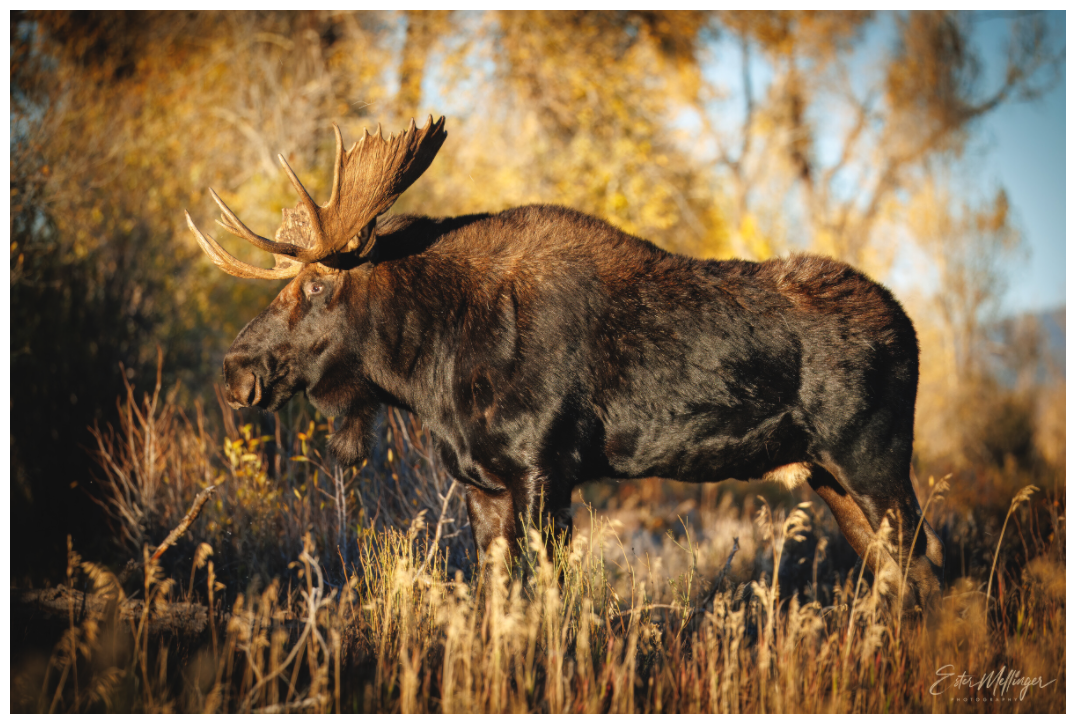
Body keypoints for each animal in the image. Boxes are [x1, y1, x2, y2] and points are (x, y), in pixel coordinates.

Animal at [185, 115, 944, 614]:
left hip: (874, 459)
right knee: (896, 577)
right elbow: (497, 602)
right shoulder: (483, 484)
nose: (236, 371)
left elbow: (542, 602)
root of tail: (909, 329)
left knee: (925, 571)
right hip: (828, 475)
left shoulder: (545, 471)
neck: (432, 369)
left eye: (316, 285)